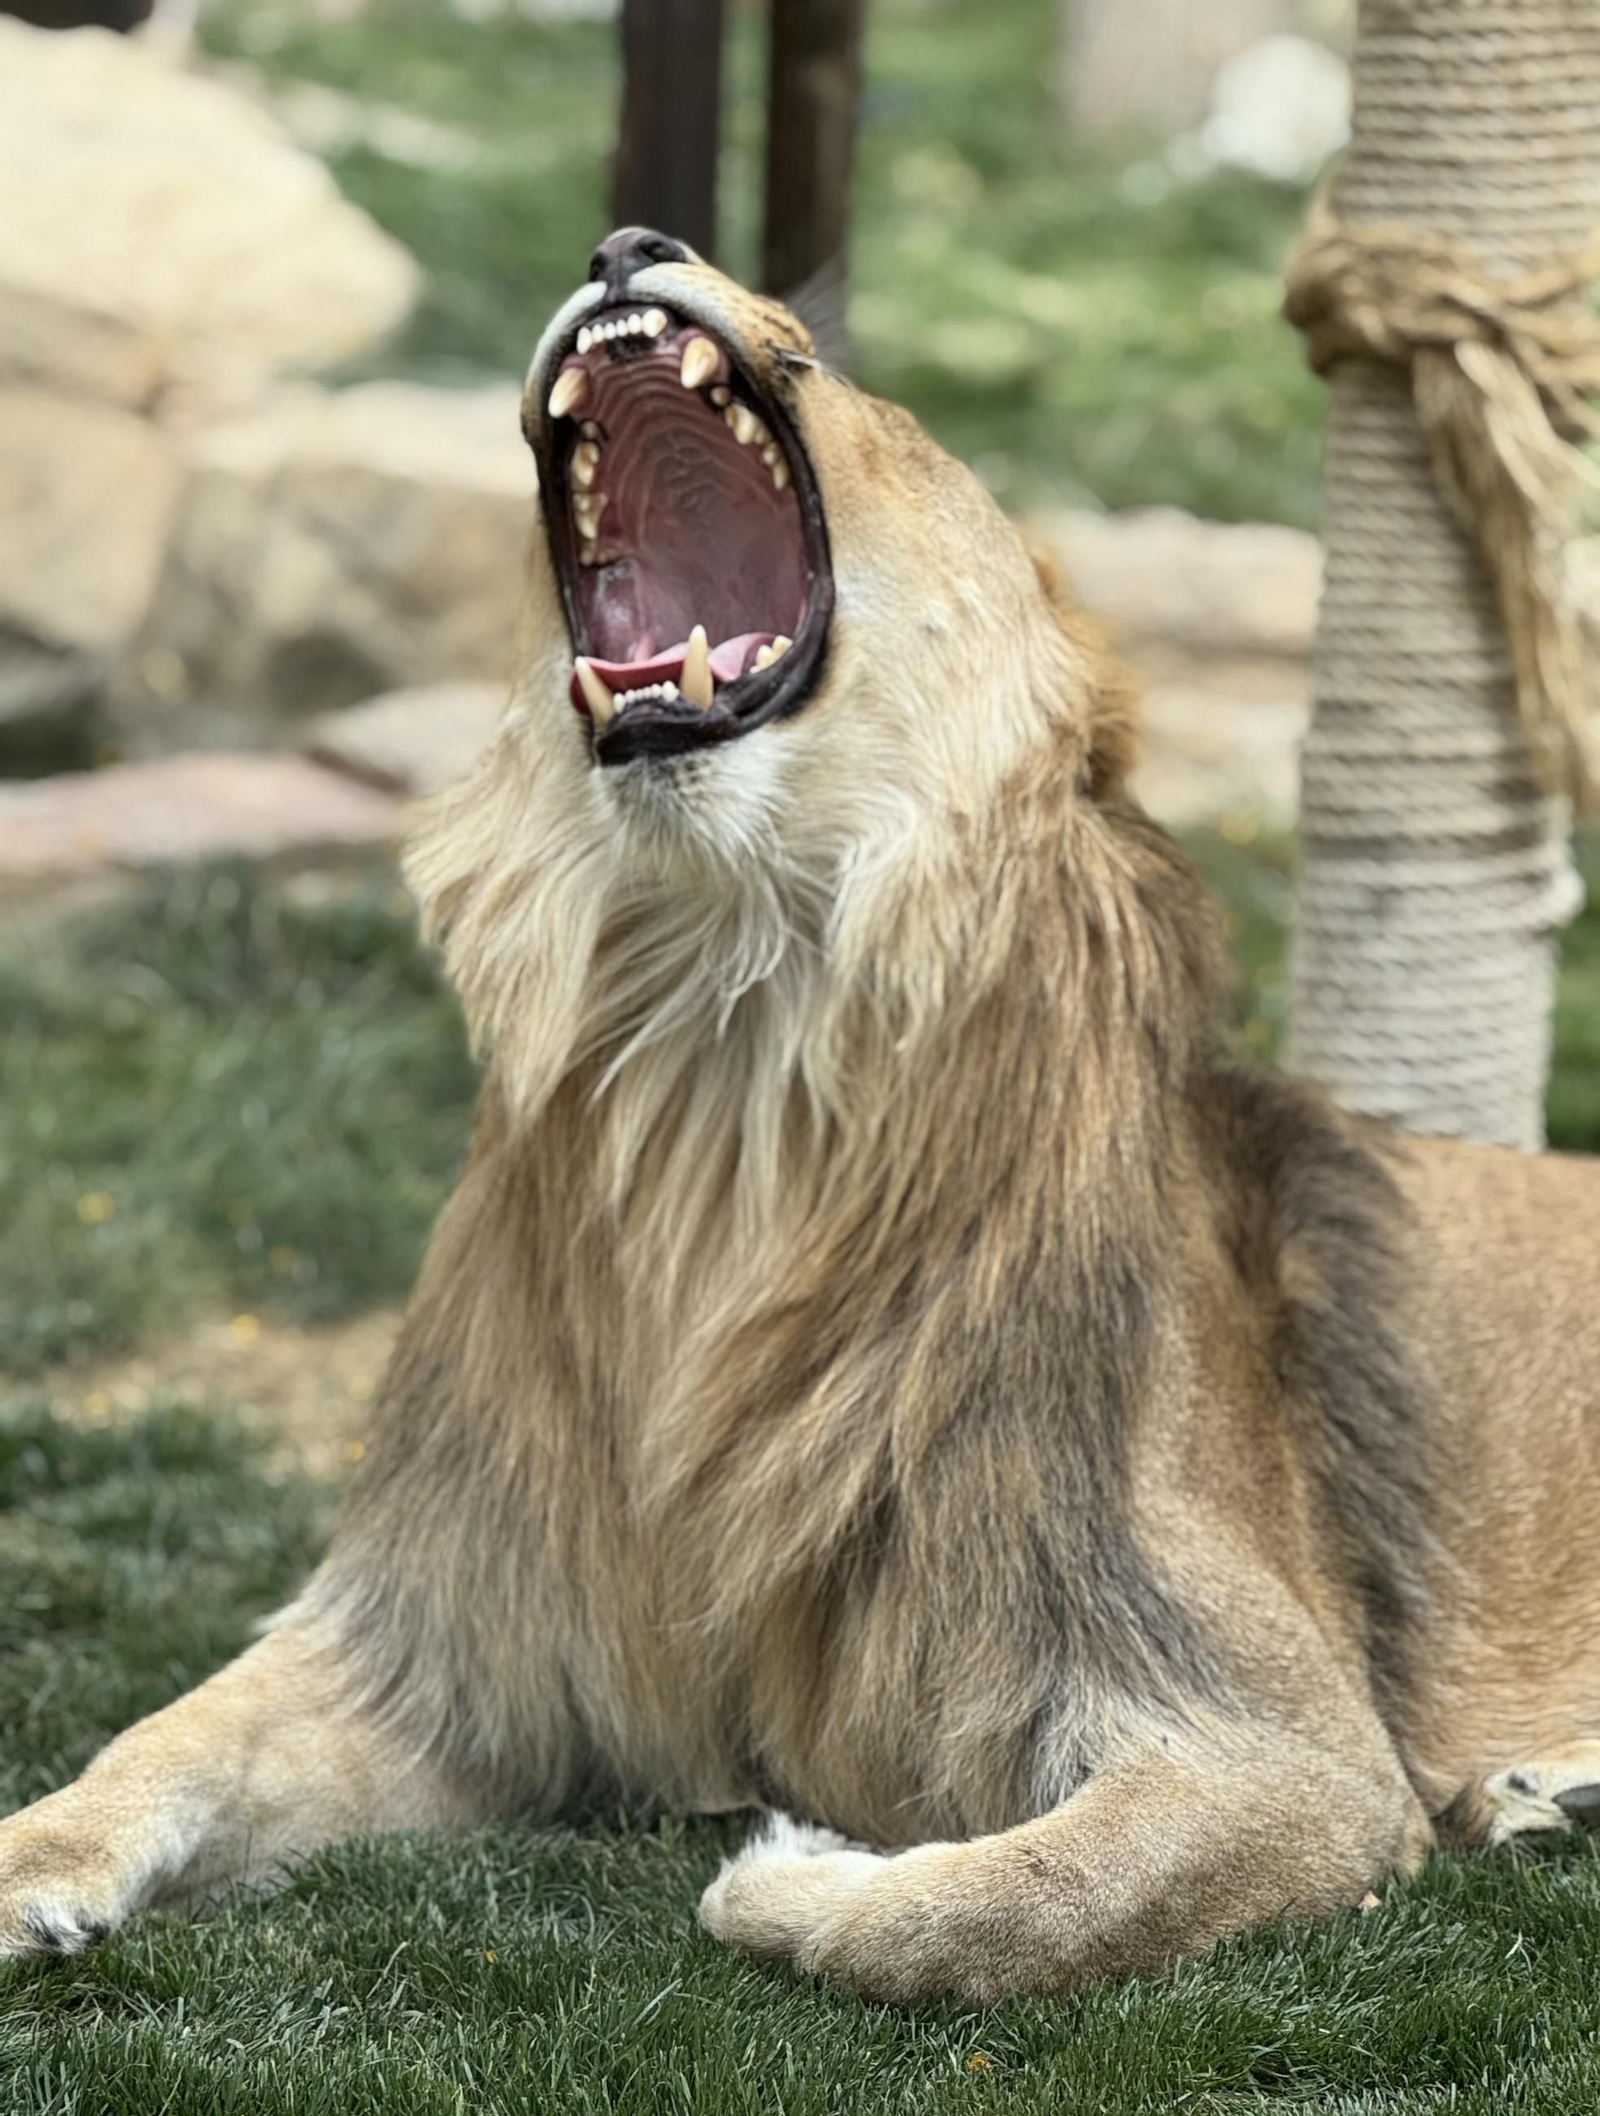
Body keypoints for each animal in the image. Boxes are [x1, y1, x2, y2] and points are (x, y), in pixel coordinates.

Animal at [4, 228, 1600, 2004]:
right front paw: (30, 1859)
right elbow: (163, 1736)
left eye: (824, 361)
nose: (627, 246)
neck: (727, 1041)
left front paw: (795, 1871)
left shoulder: (1281, 1738)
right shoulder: (452, 1638)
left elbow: (1009, 1909)